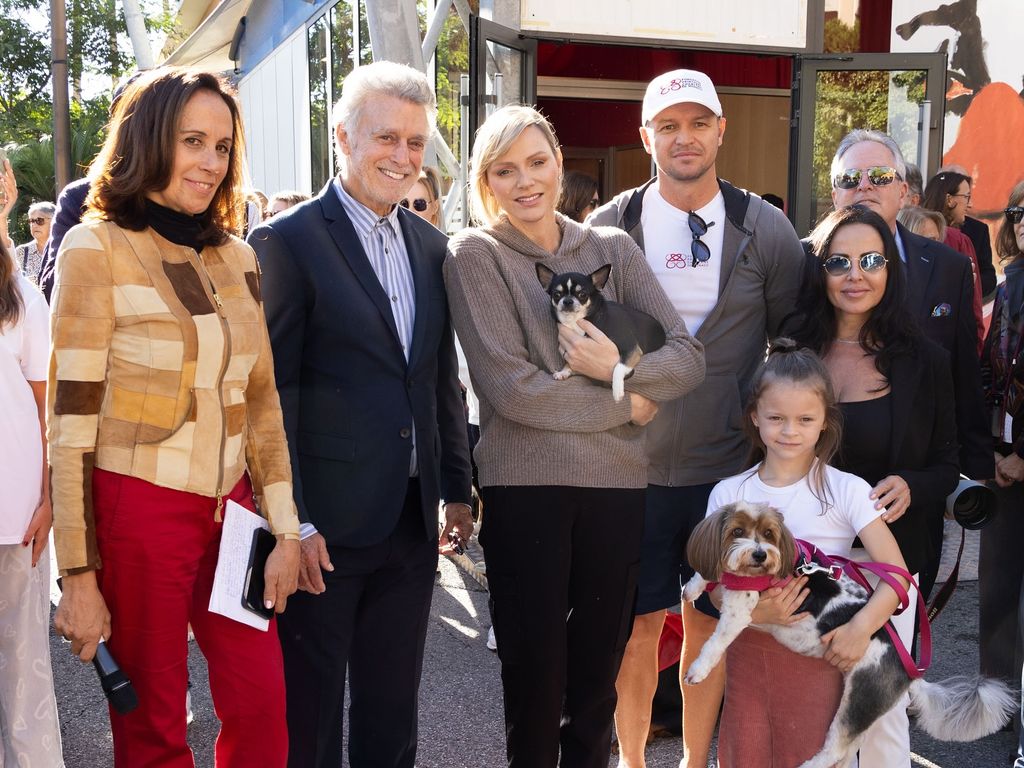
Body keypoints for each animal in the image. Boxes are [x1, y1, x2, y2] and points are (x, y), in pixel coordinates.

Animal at [532, 264, 667, 403]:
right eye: (556, 294)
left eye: (582, 294)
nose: (567, 301)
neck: (576, 321)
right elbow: (570, 363)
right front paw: (564, 371)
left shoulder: (632, 349)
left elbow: (619, 366)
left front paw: (617, 391)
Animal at [679, 499, 1015, 768]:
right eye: (737, 532)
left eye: (769, 533)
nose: (760, 555)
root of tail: (908, 671)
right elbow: (705, 575)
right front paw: (692, 589)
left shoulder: (740, 610)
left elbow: (715, 642)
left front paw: (697, 670)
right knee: (848, 749)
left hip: (860, 700)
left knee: (835, 747)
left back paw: (809, 765)